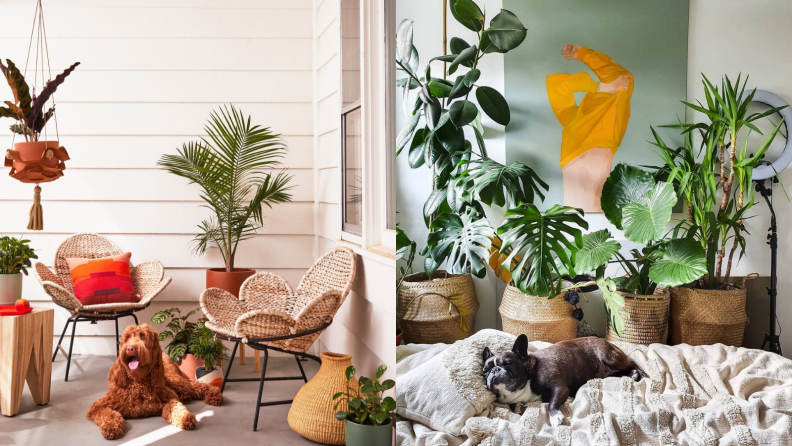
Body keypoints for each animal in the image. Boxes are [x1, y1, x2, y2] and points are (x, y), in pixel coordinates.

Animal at [86, 324, 223, 440]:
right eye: (128, 338)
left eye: (143, 337)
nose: (130, 348)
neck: (138, 382)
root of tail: (164, 354)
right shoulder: (98, 406)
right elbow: (109, 414)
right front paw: (111, 427)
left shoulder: (168, 397)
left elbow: (176, 406)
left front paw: (185, 418)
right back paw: (187, 397)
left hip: (174, 381)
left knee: (196, 386)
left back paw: (214, 395)